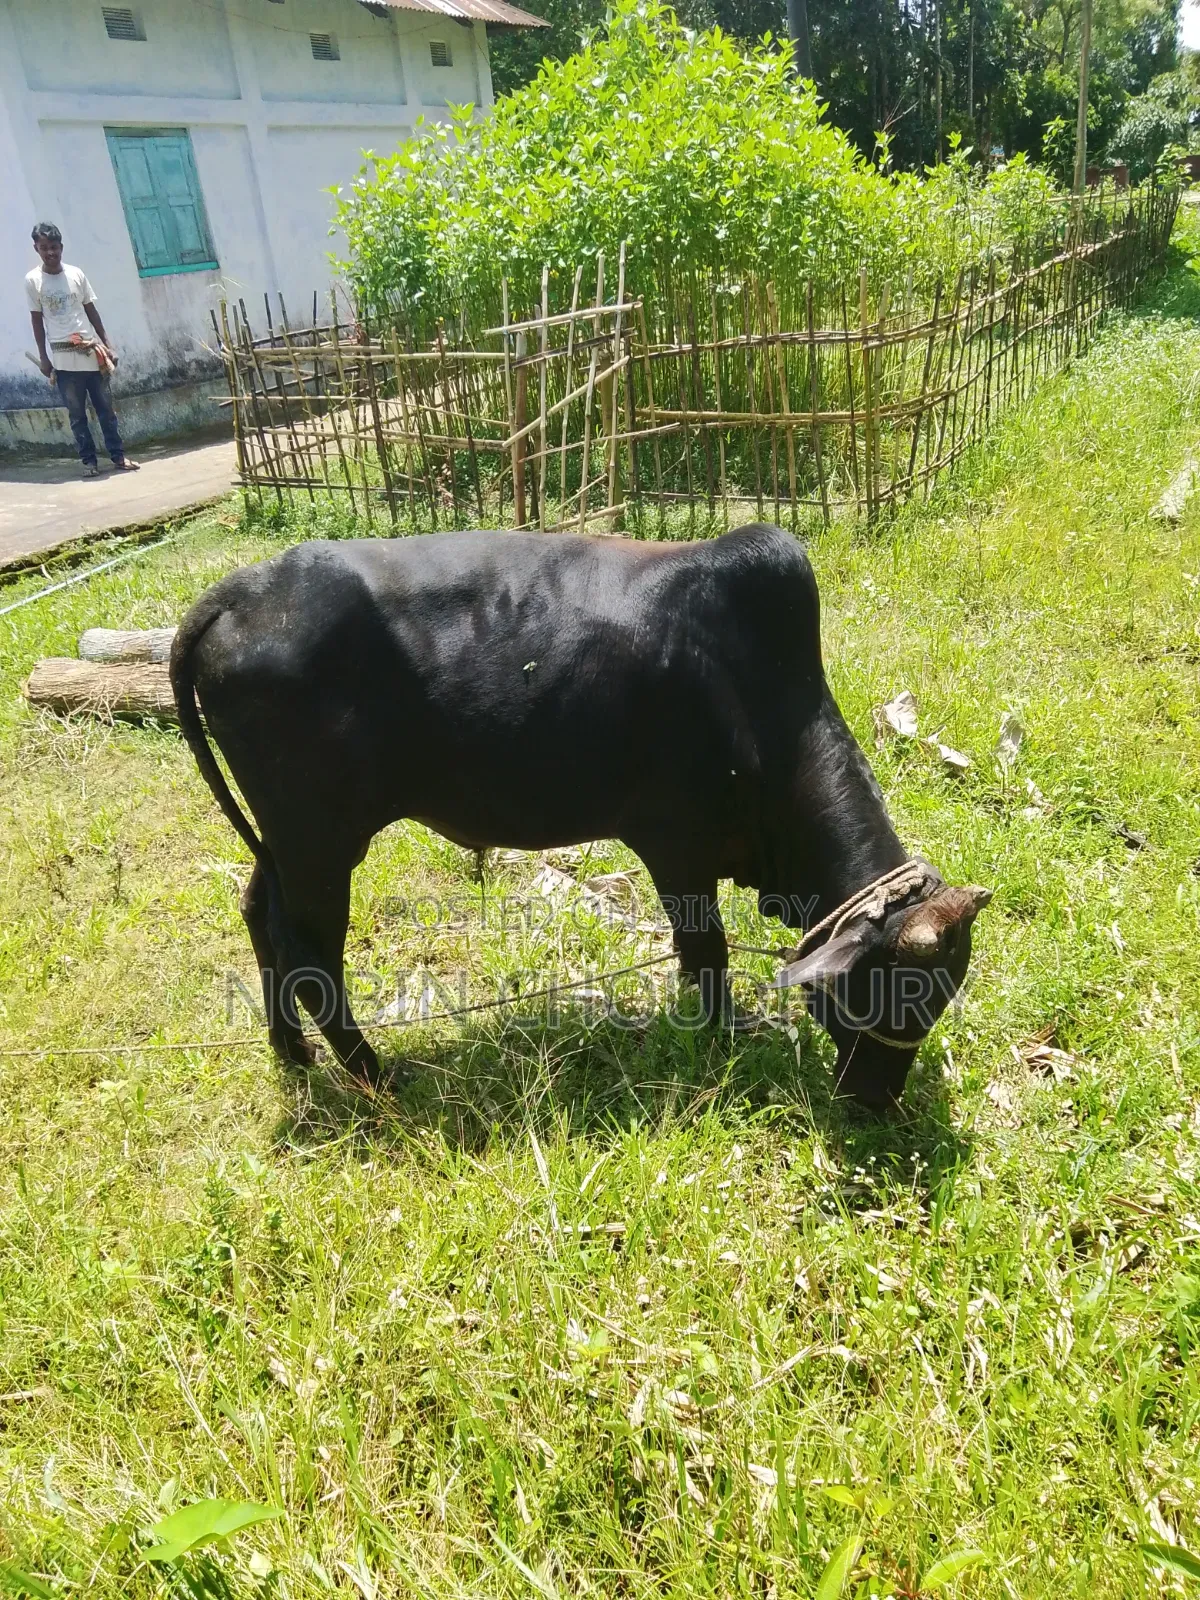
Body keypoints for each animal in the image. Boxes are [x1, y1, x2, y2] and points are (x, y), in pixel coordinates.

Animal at [170, 522, 990, 1108]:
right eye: (889, 995)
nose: (875, 1106)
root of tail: (240, 590)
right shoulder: (677, 848)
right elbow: (706, 952)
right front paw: (720, 1038)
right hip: (320, 841)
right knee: (312, 957)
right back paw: (378, 1076)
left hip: (288, 843)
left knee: (260, 916)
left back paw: (294, 1054)